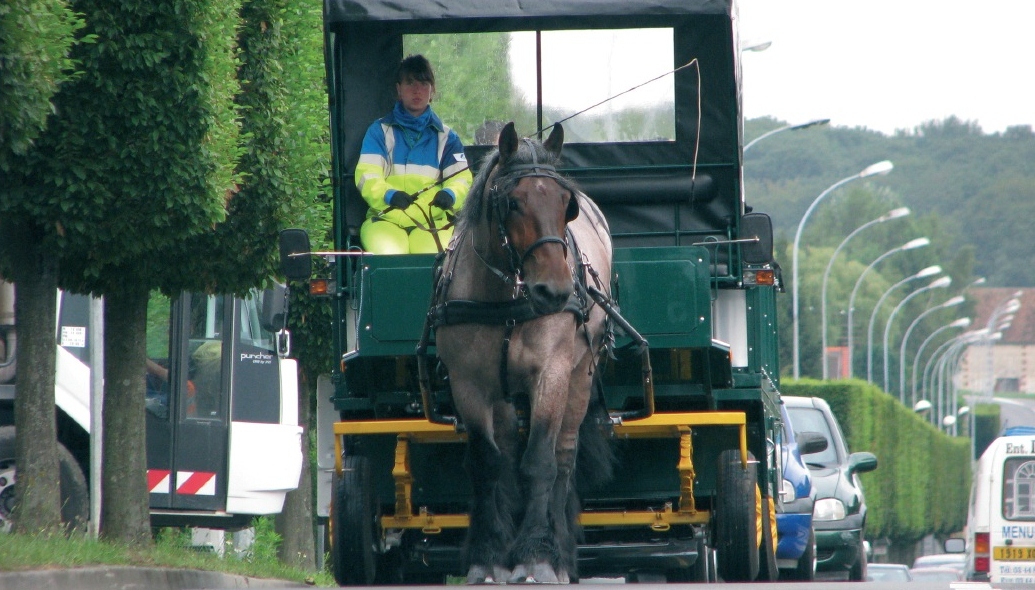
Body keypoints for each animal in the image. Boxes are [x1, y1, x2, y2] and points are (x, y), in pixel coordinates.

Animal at [430, 121, 612, 579]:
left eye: (566, 205)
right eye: (512, 202)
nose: (555, 291)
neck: (506, 297)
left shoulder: (550, 374)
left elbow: (540, 462)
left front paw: (537, 555)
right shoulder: (468, 384)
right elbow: (488, 463)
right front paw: (489, 556)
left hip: (579, 378)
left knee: (563, 457)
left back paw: (560, 551)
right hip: (502, 391)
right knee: (508, 450)